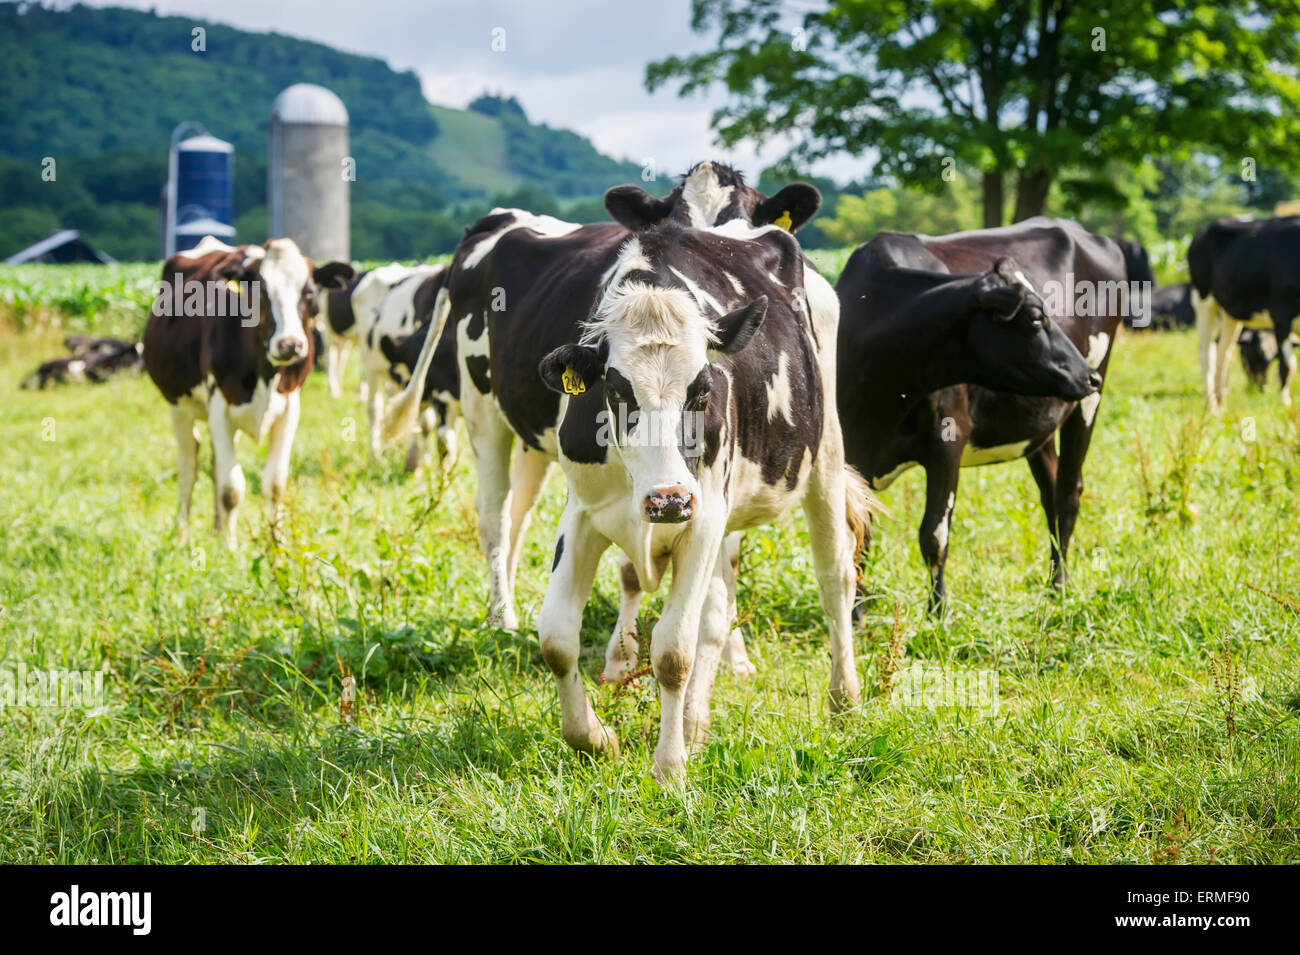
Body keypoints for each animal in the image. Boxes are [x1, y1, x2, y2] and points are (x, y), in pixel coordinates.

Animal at [144, 239, 356, 548]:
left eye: (308, 291)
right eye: (263, 291)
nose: (290, 344)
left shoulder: (290, 407)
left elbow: (274, 482)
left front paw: (276, 540)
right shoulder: (219, 405)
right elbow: (232, 488)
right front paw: (230, 547)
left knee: (214, 465)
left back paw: (217, 528)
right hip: (179, 406)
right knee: (189, 466)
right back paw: (182, 533)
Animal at [379, 164, 821, 649]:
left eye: (745, 216)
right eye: (673, 219)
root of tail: (491, 221)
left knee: (517, 514)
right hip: (482, 410)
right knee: (494, 512)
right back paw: (501, 617)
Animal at [533, 216, 878, 784]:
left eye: (701, 391)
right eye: (617, 390)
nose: (668, 500)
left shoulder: (702, 518)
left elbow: (674, 650)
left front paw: (669, 767)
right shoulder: (582, 514)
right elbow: (557, 640)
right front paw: (596, 738)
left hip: (824, 454)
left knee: (835, 578)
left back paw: (844, 700)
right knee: (716, 616)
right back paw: (696, 722)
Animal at [837, 219, 1123, 608]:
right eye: (1036, 318)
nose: (1088, 376)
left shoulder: (948, 439)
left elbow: (934, 535)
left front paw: (938, 612)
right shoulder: (850, 453)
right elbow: (860, 536)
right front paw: (857, 612)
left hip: (1087, 403)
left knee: (1068, 491)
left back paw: (1059, 587)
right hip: (1040, 424)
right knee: (1050, 492)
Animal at [1190, 216, 1300, 410]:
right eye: (1256, 357)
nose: (1258, 388)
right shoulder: (1280, 314)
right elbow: (1288, 363)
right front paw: (1285, 402)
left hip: (1229, 313)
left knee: (1222, 351)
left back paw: (1222, 400)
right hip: (1203, 300)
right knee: (1206, 353)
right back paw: (1212, 404)